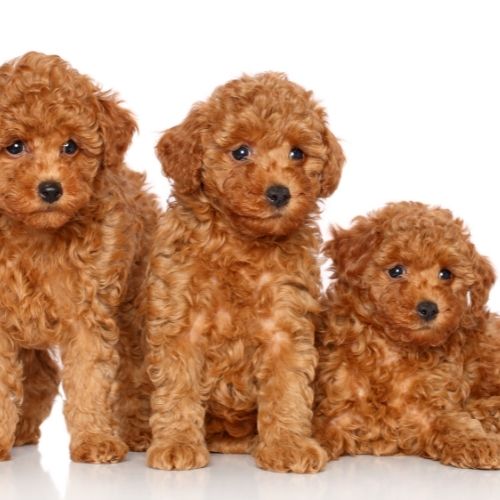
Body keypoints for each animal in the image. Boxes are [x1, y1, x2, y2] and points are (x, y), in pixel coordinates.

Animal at [0, 52, 158, 462]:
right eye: (15, 147)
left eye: (70, 146)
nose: (50, 189)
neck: (37, 235)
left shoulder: (88, 312)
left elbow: (91, 378)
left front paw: (96, 440)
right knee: (42, 377)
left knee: (136, 374)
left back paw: (138, 432)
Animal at [146, 72, 346, 470]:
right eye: (240, 152)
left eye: (297, 153)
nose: (280, 193)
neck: (241, 242)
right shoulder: (181, 323)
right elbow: (178, 386)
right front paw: (176, 443)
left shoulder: (285, 323)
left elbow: (287, 387)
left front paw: (288, 445)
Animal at [314, 200, 500, 468]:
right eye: (396, 271)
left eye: (446, 274)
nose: (429, 308)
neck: (393, 349)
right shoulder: (335, 407)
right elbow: (318, 428)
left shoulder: (433, 408)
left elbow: (454, 425)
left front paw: (481, 443)